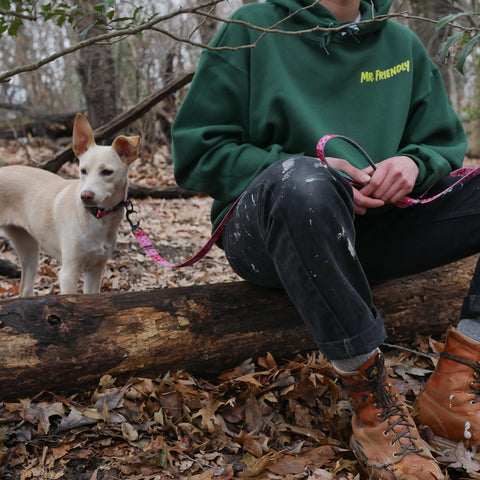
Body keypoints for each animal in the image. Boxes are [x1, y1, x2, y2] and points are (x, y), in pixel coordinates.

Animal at [0, 113, 139, 296]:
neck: (97, 217)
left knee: (25, 290)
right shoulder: (69, 272)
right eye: (83, 171)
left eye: (107, 172)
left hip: (29, 250)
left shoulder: (95, 270)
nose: (85, 196)